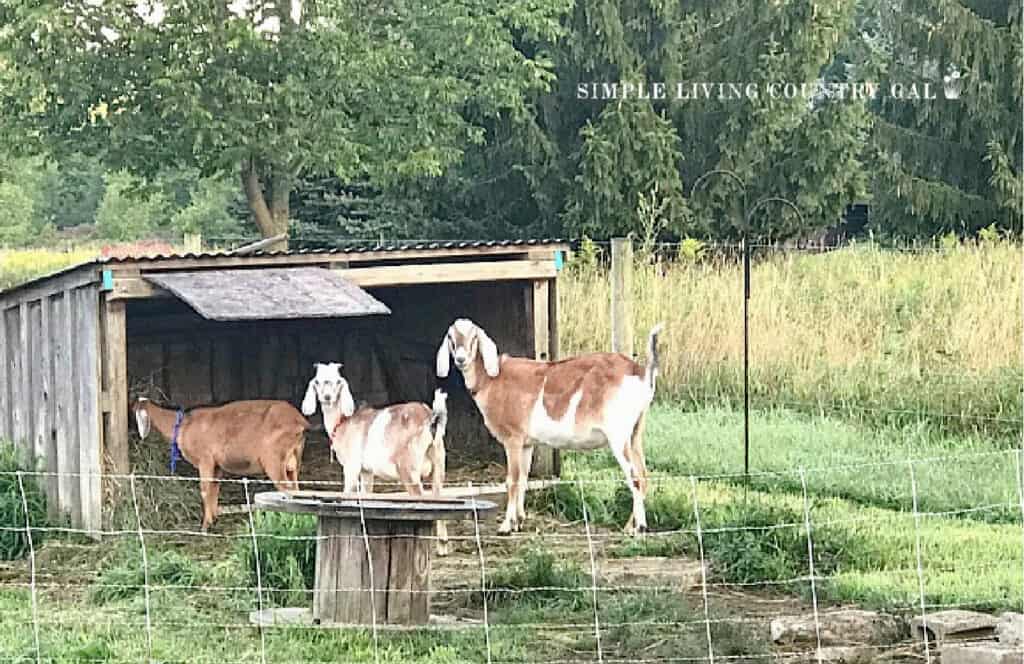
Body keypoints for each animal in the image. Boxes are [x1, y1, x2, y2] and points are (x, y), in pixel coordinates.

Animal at [128, 397, 305, 532]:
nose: (136, 437)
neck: (183, 426)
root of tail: (299, 421)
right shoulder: (217, 465)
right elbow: (215, 488)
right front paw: (213, 519)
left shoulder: (205, 460)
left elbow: (205, 490)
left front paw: (205, 527)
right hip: (293, 463)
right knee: (296, 491)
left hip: (274, 460)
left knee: (287, 490)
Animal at [299, 362, 452, 553]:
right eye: (317, 382)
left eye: (337, 382)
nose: (327, 397)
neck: (343, 422)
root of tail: (431, 418)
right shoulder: (366, 471)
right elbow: (366, 494)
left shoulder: (352, 466)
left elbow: (348, 493)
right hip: (439, 462)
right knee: (439, 499)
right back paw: (442, 547)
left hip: (408, 469)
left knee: (423, 499)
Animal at [434, 319, 659, 536]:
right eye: (451, 338)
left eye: (473, 338)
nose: (461, 359)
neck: (492, 379)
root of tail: (641, 373)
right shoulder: (526, 443)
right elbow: (523, 478)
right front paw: (519, 521)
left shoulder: (513, 438)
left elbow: (512, 480)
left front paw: (506, 526)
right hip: (635, 433)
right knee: (643, 475)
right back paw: (629, 526)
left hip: (618, 434)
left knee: (635, 478)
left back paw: (639, 528)